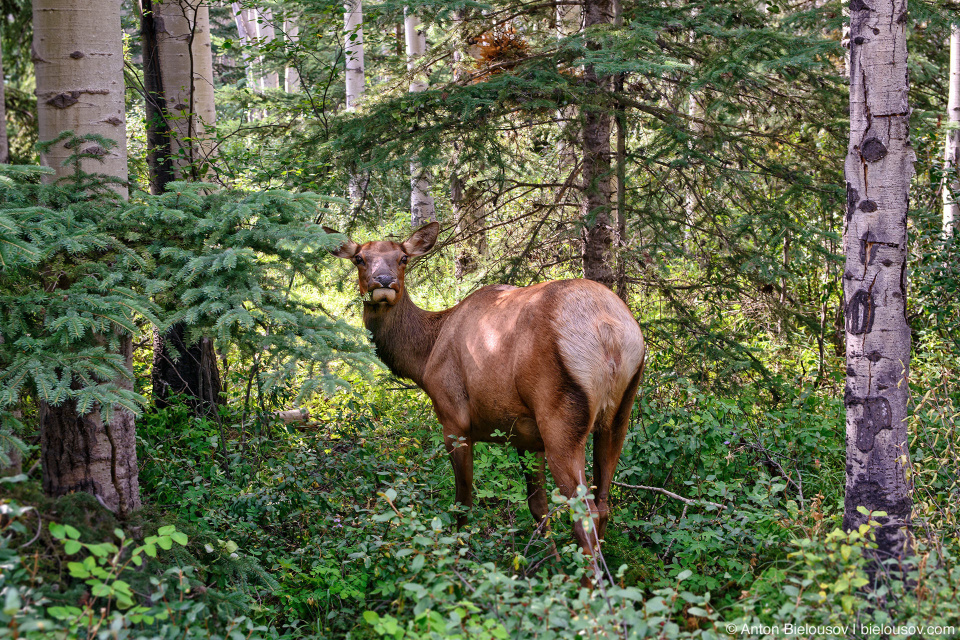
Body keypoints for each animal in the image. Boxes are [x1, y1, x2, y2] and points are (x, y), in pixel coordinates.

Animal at [326, 220, 648, 556]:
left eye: (402, 258)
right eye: (360, 258)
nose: (384, 281)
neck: (425, 358)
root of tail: (610, 333)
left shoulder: (454, 419)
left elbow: (463, 503)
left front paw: (460, 554)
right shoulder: (526, 435)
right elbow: (538, 505)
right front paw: (547, 559)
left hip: (561, 417)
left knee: (585, 514)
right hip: (619, 415)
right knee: (604, 505)